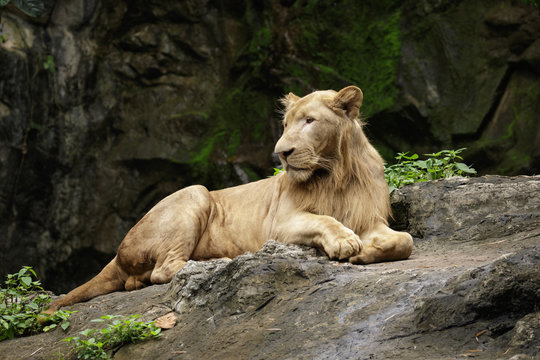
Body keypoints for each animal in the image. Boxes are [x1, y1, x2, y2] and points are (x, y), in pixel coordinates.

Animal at [44, 86, 414, 314]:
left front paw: (364, 252)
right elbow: (325, 219)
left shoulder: (369, 219)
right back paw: (219, 261)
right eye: (285, 124)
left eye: (310, 121)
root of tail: (118, 251)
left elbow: (404, 241)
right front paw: (345, 244)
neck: (334, 175)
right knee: (164, 271)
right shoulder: (279, 225)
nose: (281, 153)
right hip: (195, 192)